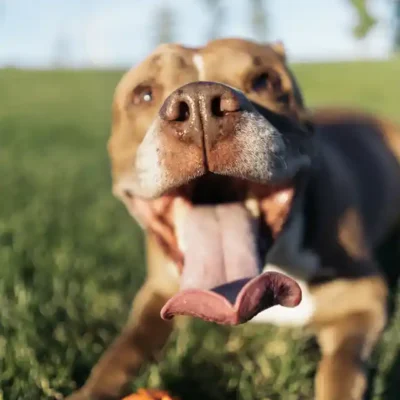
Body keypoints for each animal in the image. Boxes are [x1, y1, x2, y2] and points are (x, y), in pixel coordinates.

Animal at [67, 38, 400, 400]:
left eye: (265, 80)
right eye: (143, 93)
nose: (199, 104)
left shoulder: (363, 298)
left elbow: (340, 368)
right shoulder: (157, 292)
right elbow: (126, 347)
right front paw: (90, 390)